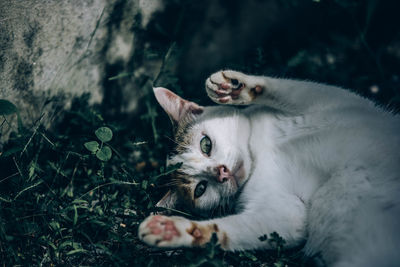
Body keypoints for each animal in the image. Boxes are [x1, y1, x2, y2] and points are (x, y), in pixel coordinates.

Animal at [138, 70, 400, 266]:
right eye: (200, 189)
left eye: (205, 145)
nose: (221, 172)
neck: (259, 153)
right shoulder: (285, 212)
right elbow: (233, 229)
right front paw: (175, 230)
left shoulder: (337, 102)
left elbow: (293, 89)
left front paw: (236, 87)